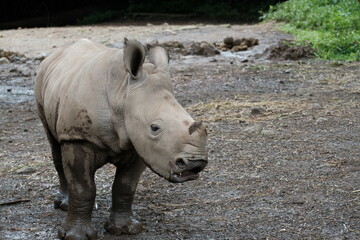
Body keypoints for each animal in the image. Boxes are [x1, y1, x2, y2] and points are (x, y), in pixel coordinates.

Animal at [34, 38, 208, 239]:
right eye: (154, 128)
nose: (195, 164)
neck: (122, 91)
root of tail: (55, 54)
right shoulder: (77, 137)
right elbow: (83, 188)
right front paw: (75, 236)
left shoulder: (141, 145)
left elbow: (125, 186)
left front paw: (125, 229)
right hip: (41, 83)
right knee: (55, 146)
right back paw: (63, 205)